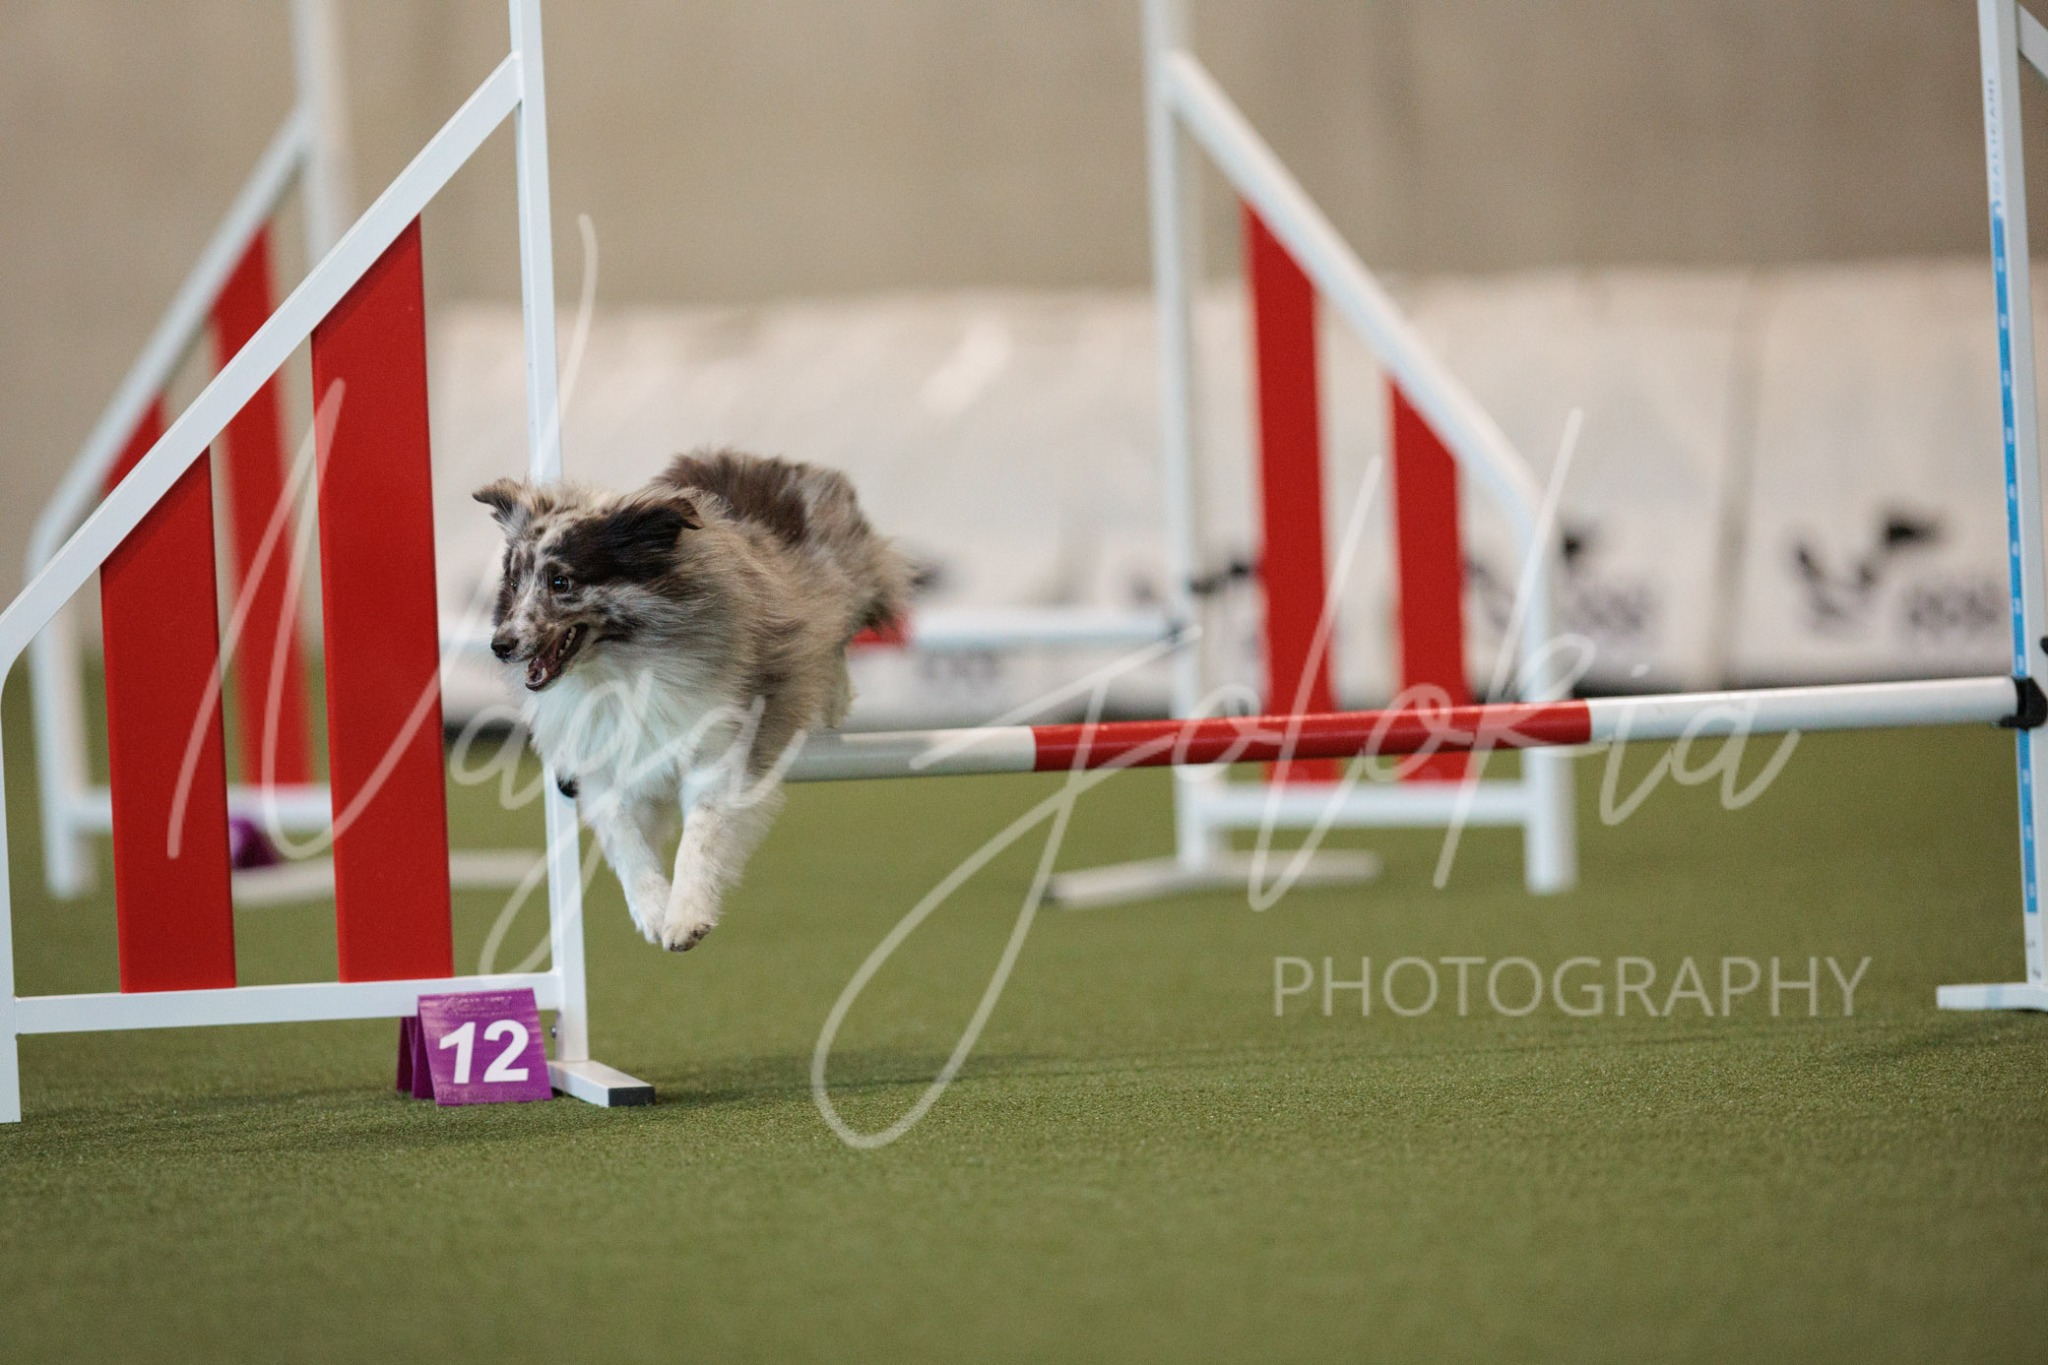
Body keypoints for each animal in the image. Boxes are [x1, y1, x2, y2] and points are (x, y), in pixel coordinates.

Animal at [475, 450, 911, 950]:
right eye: (513, 581)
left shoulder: (716, 754)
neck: (619, 669)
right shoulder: (604, 771)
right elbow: (626, 843)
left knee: (838, 629)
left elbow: (699, 838)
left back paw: (834, 698)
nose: (500, 645)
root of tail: (763, 461)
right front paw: (652, 911)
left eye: (561, 582)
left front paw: (685, 917)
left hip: (842, 583)